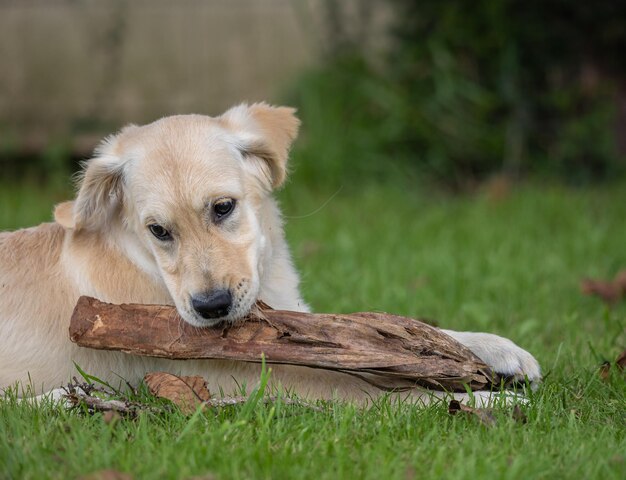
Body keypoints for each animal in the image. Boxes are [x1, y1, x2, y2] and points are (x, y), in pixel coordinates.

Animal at [0, 103, 536, 404]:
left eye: (223, 208)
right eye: (158, 231)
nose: (211, 307)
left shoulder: (299, 323)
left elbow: (405, 332)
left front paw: (499, 351)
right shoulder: (254, 376)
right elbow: (375, 392)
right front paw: (491, 405)